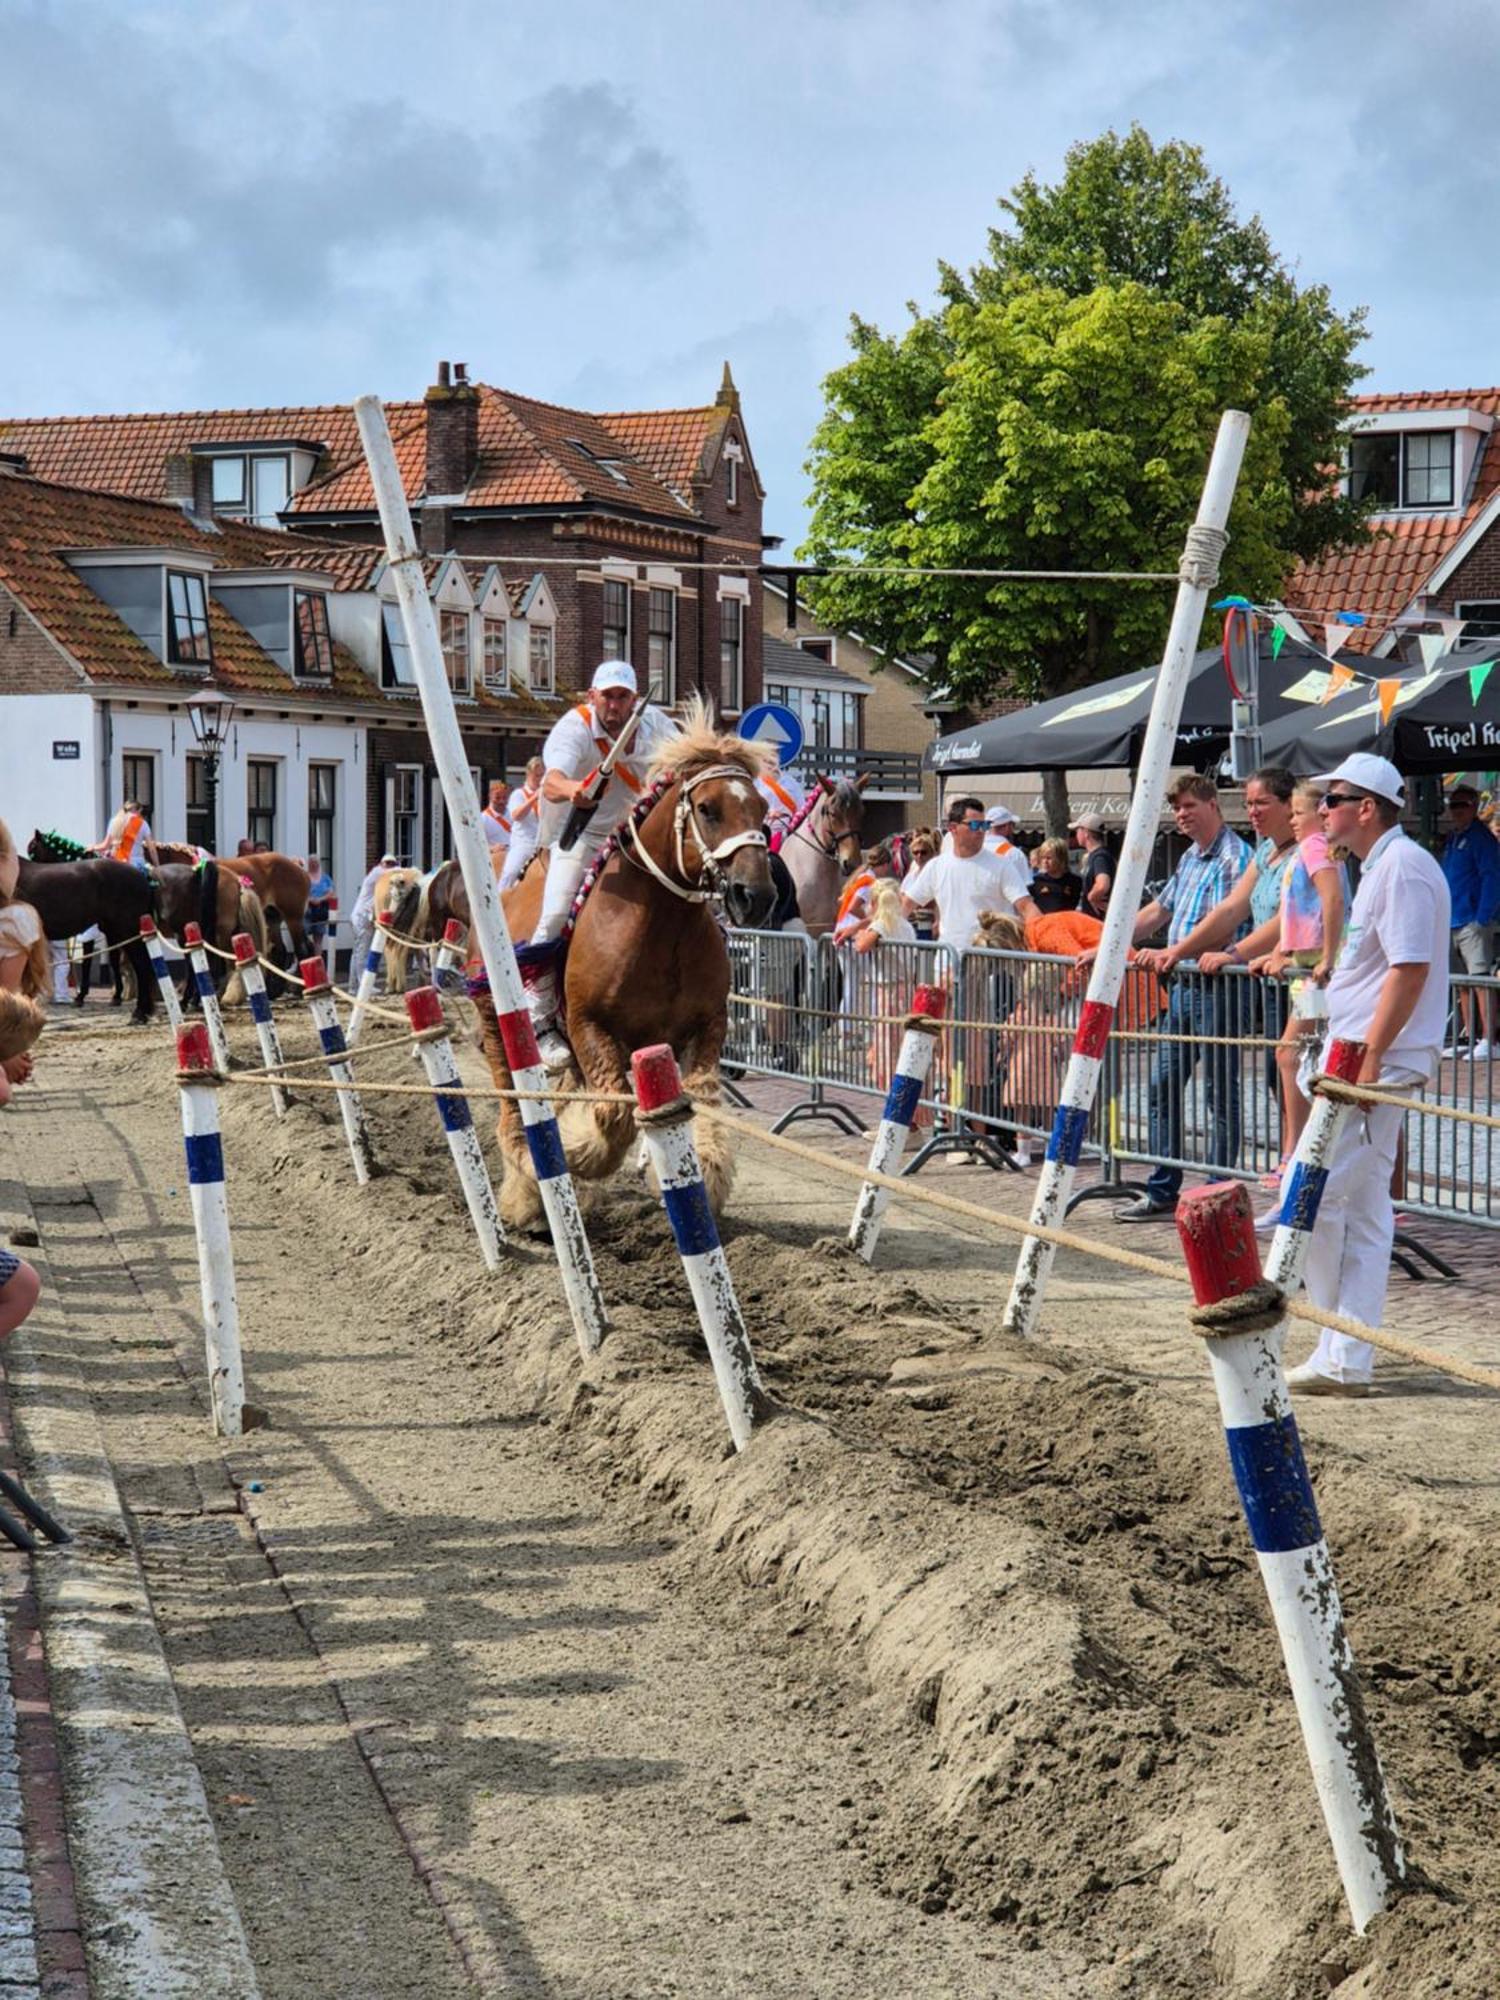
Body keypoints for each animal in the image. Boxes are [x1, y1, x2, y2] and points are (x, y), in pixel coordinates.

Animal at [476, 704, 780, 1232]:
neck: (656, 924)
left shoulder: (705, 1028)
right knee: (513, 1106)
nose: (755, 895)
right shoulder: (589, 1026)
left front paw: (702, 1180)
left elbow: (701, 1103)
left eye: (762, 809)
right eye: (708, 809)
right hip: (499, 1026)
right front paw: (572, 1155)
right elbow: (613, 1119)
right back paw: (525, 1187)